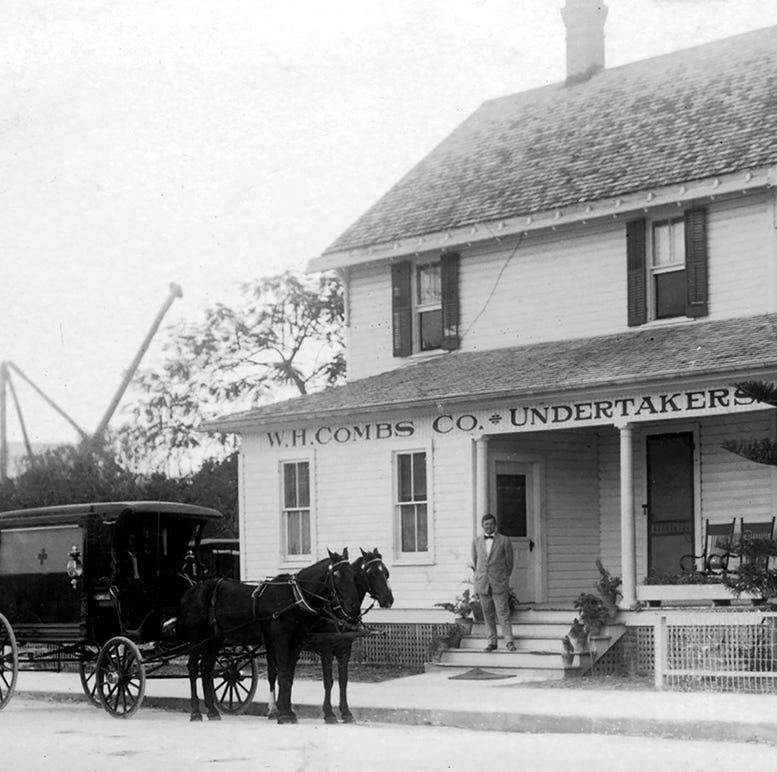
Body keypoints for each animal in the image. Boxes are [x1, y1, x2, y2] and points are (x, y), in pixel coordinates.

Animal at [180, 548, 362, 724]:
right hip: (196, 639)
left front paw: (288, 711)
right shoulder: (281, 641)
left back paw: (212, 711)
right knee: (193, 668)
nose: (353, 607)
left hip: (214, 639)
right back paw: (196, 712)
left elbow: (288, 676)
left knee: (206, 668)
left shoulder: (295, 642)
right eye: (337, 575)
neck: (294, 597)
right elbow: (282, 674)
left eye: (352, 574)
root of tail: (192, 590)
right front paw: (283, 714)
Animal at [272, 544, 398, 720]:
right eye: (372, 573)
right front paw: (329, 713)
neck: (338, 611)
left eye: (386, 572)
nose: (388, 600)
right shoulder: (326, 649)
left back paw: (284, 710)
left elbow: (343, 680)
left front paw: (346, 712)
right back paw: (275, 710)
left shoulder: (345, 649)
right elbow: (328, 680)